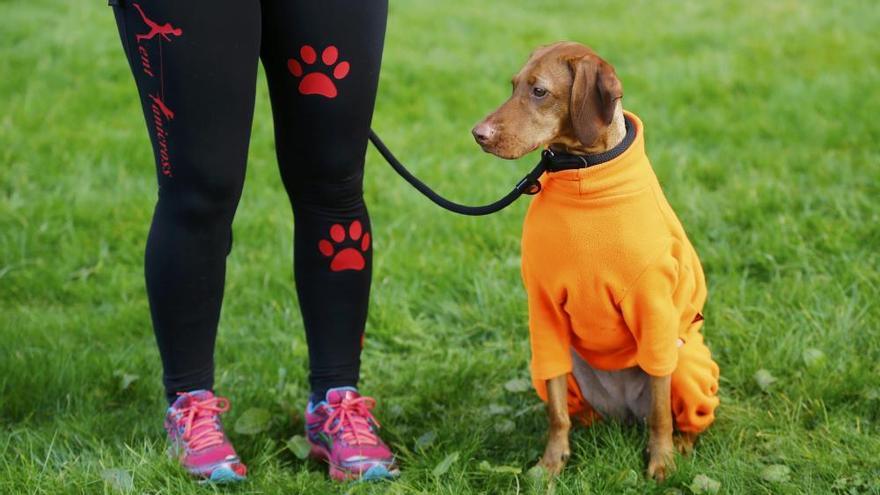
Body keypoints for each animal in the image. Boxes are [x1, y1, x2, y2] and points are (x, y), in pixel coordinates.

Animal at [470, 40, 720, 482]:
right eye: (514, 85)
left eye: (539, 91)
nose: (477, 134)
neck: (583, 175)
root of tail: (625, 414)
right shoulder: (544, 312)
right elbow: (556, 413)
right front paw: (550, 464)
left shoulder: (654, 310)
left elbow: (661, 412)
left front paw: (661, 462)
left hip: (686, 362)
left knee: (676, 413)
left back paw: (682, 446)